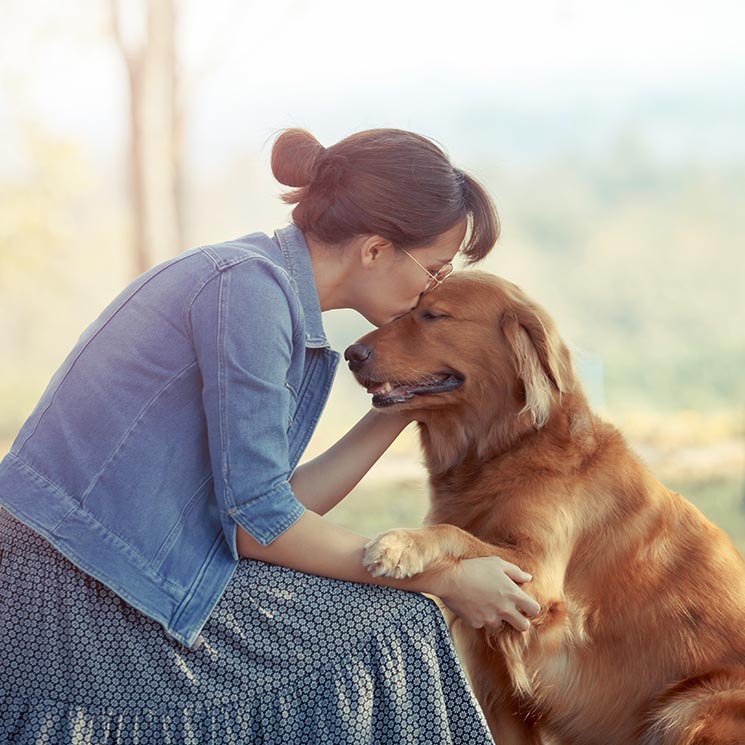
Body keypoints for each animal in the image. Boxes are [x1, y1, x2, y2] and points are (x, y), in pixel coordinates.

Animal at [342, 272, 744, 744]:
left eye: (434, 315)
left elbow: (455, 533)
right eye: (404, 311)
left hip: (689, 707)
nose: (350, 355)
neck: (508, 447)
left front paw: (399, 544)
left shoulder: (535, 579)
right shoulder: (497, 685)